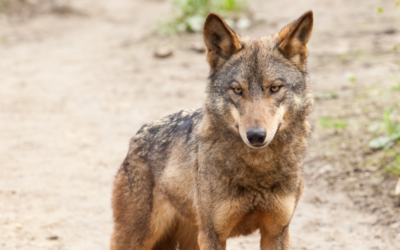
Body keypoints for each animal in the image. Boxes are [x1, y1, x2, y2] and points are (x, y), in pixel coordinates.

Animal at [111, 10, 314, 250]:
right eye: (237, 90)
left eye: (274, 88)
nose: (256, 136)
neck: (257, 170)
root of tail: (138, 135)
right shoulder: (212, 234)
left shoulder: (277, 232)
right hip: (137, 238)